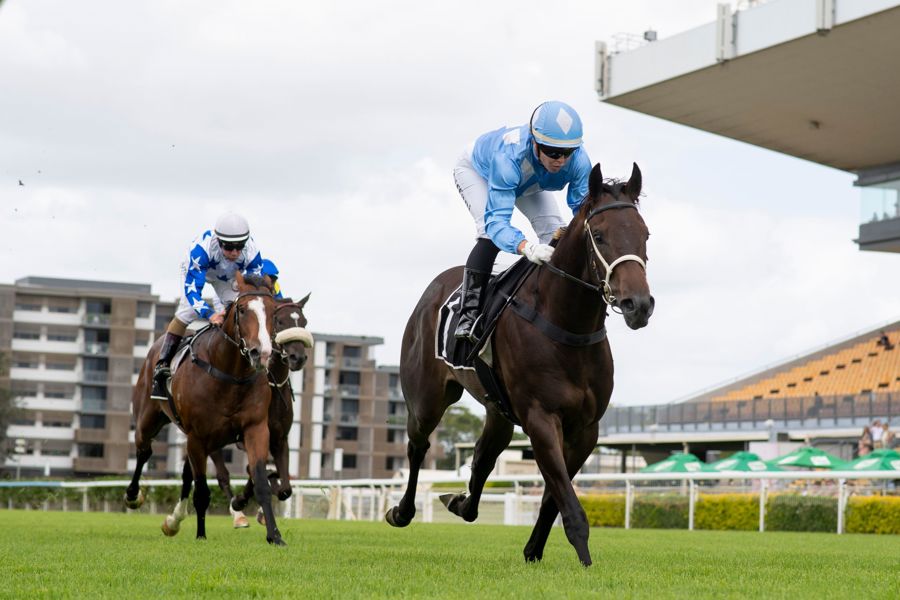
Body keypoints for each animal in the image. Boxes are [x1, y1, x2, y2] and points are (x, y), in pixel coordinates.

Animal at [124, 272, 286, 545]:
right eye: (242, 309)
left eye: (274, 311)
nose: (261, 353)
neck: (230, 374)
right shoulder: (197, 436)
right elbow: (201, 490)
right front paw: (201, 535)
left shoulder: (255, 429)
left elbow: (261, 483)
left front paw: (274, 535)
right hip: (149, 420)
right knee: (144, 451)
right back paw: (133, 496)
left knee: (185, 474)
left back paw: (173, 520)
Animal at [386, 163, 653, 566]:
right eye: (600, 236)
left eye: (645, 235)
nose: (639, 304)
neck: (566, 324)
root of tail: (434, 288)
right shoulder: (540, 418)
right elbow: (566, 499)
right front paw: (585, 561)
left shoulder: (586, 429)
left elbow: (553, 498)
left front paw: (533, 550)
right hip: (426, 400)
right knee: (418, 447)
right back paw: (401, 512)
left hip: (498, 412)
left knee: (483, 459)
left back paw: (461, 503)